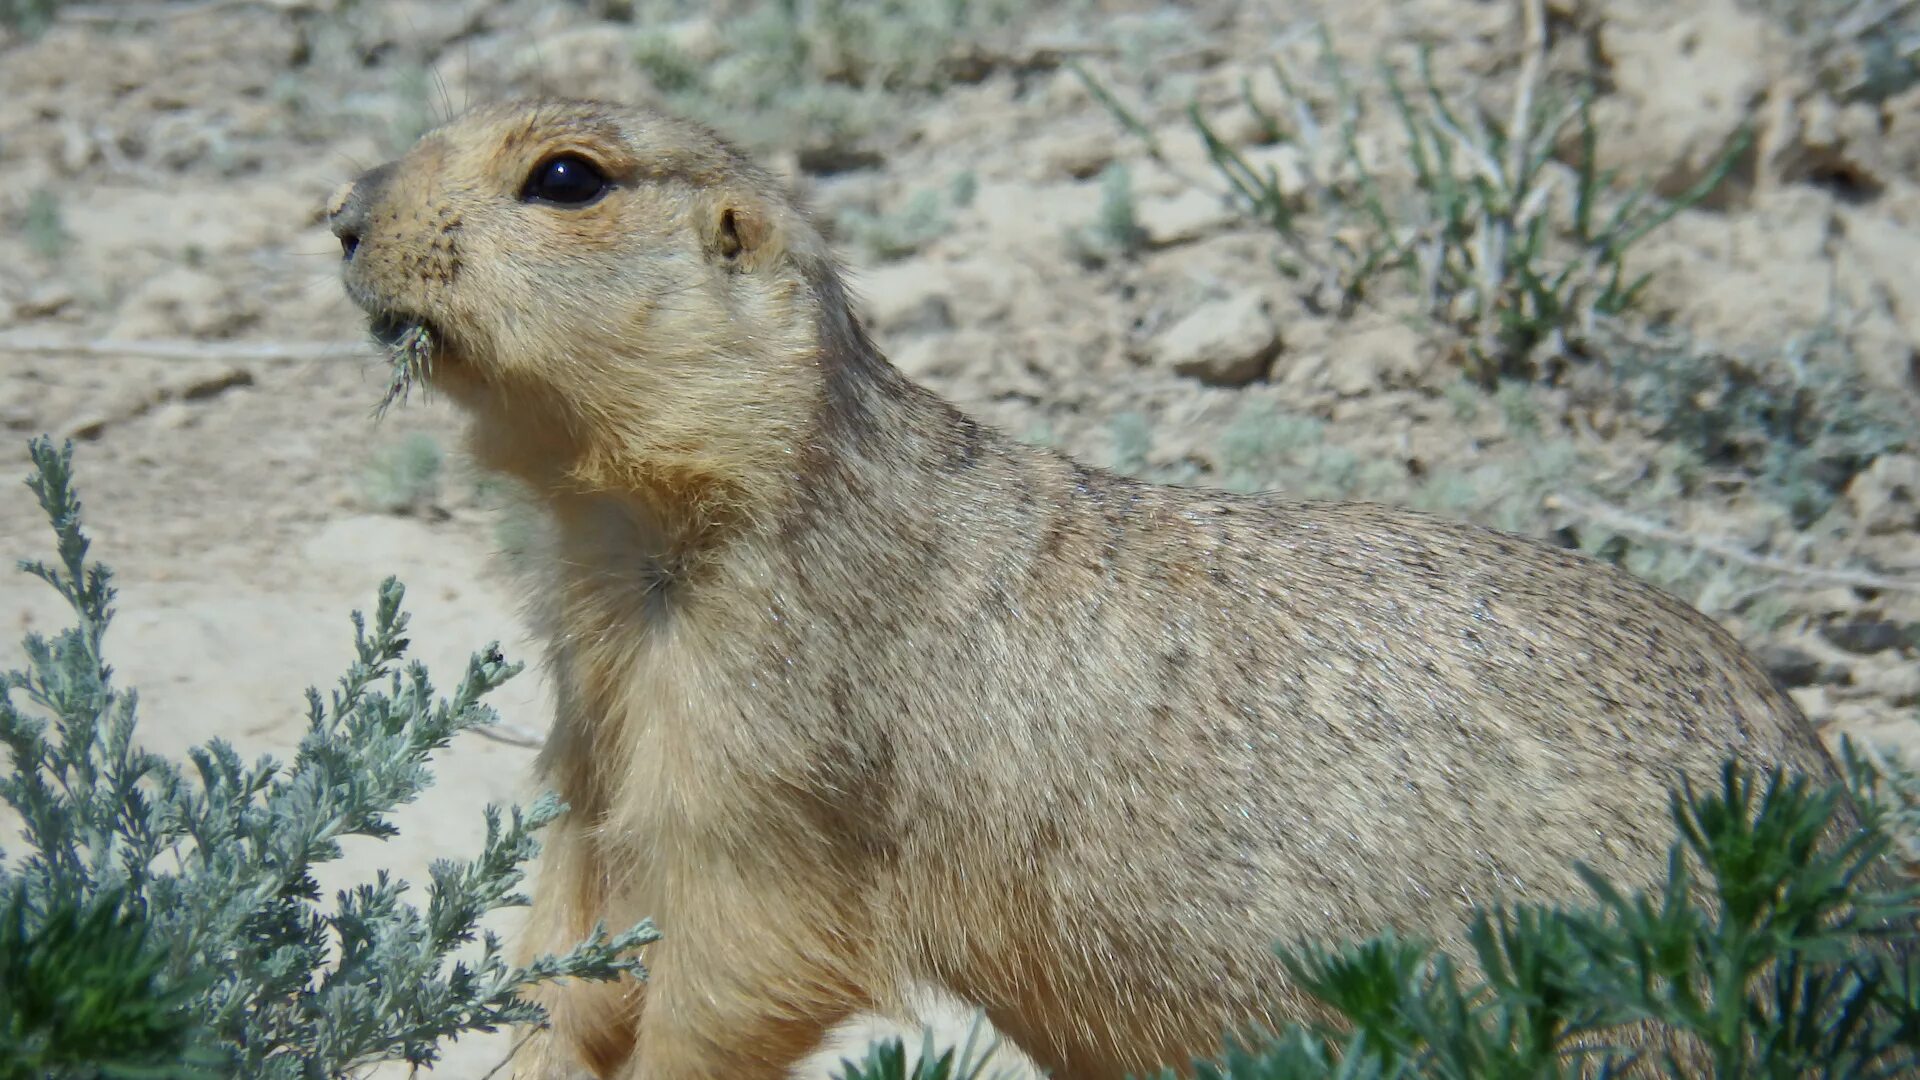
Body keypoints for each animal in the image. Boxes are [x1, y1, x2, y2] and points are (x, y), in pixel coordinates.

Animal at [334, 96, 1858, 1068]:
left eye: (567, 178)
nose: (338, 213)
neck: (623, 529)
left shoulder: (772, 737)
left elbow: (743, 960)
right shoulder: (598, 729)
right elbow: (571, 930)